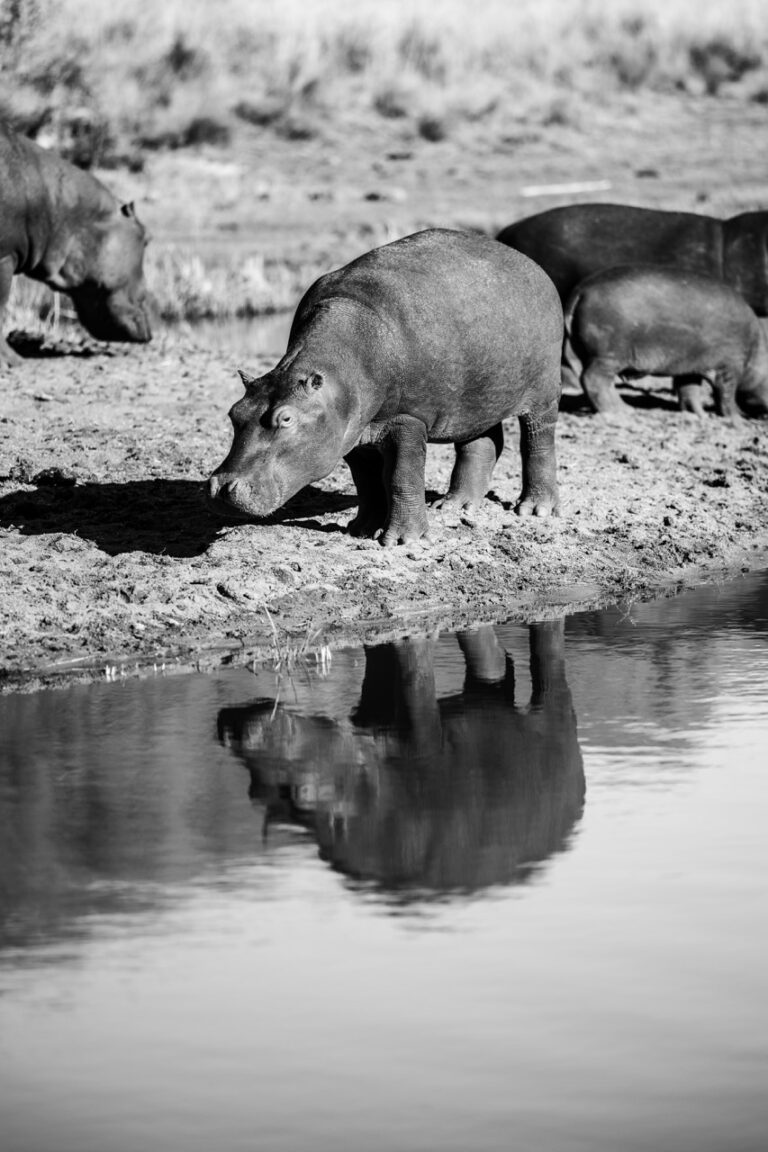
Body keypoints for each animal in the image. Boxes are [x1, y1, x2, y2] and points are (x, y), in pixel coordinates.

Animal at [208, 228, 562, 546]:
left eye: (286, 418)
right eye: (234, 412)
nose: (221, 487)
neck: (341, 367)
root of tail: (530, 264)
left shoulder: (408, 419)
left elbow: (401, 477)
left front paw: (402, 540)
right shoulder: (351, 432)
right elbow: (366, 481)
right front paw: (361, 530)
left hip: (543, 394)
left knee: (537, 443)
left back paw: (535, 510)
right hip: (477, 397)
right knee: (480, 444)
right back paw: (454, 505)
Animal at [563, 266, 768, 417]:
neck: (758, 351)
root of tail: (581, 290)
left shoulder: (690, 366)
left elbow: (689, 390)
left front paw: (699, 415)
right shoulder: (730, 366)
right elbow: (726, 395)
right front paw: (738, 417)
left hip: (591, 354)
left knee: (600, 383)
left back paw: (626, 408)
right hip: (608, 354)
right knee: (593, 379)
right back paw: (621, 412)